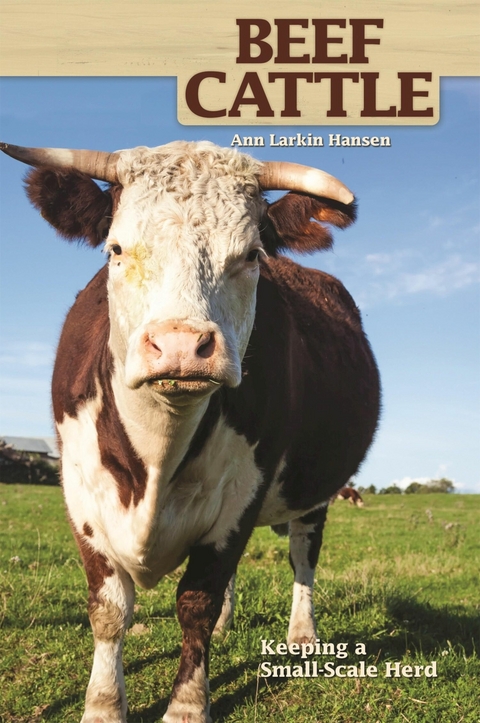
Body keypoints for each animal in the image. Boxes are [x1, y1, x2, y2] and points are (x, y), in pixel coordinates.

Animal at [1, 140, 380, 723]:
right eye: (115, 249)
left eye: (251, 255)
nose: (181, 345)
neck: (156, 457)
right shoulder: (81, 495)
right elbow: (109, 608)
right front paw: (103, 704)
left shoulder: (243, 495)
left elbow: (195, 602)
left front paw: (187, 704)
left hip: (315, 490)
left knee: (302, 553)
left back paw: (302, 634)